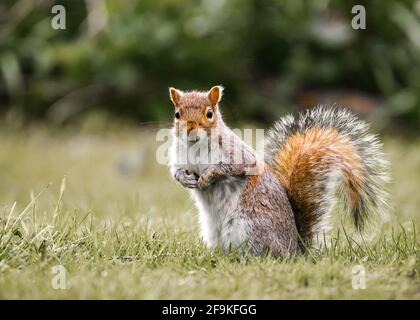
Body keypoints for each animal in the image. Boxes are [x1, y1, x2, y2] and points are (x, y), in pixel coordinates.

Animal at [168, 86, 390, 256]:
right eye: (177, 114)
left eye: (209, 113)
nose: (190, 129)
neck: (196, 147)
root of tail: (294, 250)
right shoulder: (179, 157)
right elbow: (176, 171)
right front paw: (185, 179)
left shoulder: (237, 153)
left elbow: (234, 166)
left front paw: (207, 176)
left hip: (249, 226)